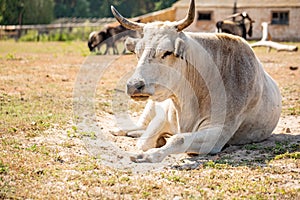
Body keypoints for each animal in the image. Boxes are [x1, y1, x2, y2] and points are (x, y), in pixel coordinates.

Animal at [110, 0, 282, 162]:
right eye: (137, 52)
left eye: (167, 52)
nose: (134, 85)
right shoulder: (161, 116)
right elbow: (145, 141)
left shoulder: (218, 133)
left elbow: (178, 139)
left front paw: (148, 155)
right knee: (139, 126)